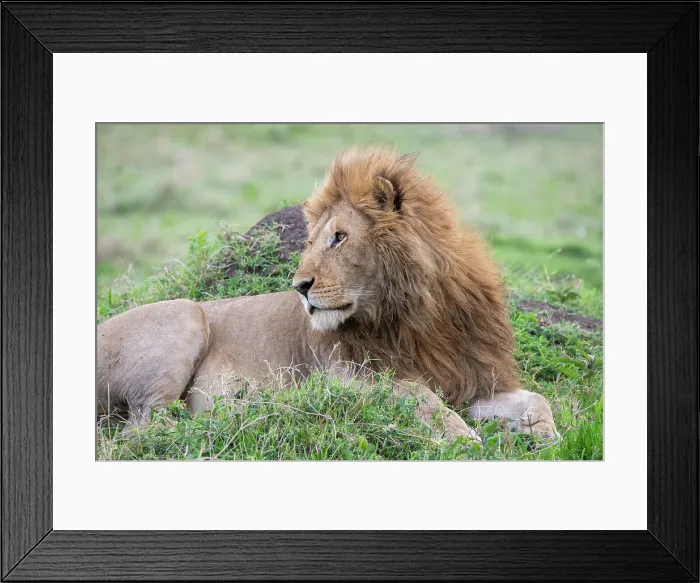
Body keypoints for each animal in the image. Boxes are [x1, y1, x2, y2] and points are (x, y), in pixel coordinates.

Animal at [97, 146, 557, 442]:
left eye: (339, 238)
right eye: (312, 240)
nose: (299, 287)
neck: (419, 316)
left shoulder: (473, 378)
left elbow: (538, 399)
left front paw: (543, 435)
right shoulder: (351, 377)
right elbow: (422, 399)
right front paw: (463, 439)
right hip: (185, 315)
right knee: (144, 427)